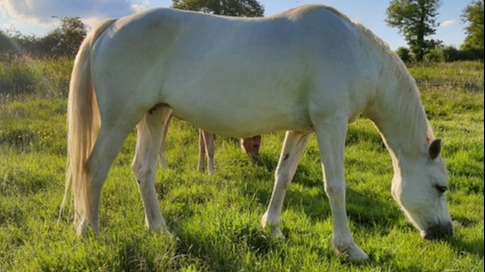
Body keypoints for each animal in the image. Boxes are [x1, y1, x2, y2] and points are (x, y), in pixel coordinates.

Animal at [63, 5, 450, 262]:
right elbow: (335, 186)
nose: (445, 233)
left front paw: (272, 227)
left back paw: (160, 230)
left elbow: (284, 175)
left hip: (155, 115)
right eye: (441, 187)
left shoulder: (302, 129)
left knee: (143, 171)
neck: (356, 52)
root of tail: (112, 25)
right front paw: (348, 247)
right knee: (94, 168)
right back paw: (90, 232)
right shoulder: (331, 123)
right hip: (119, 119)